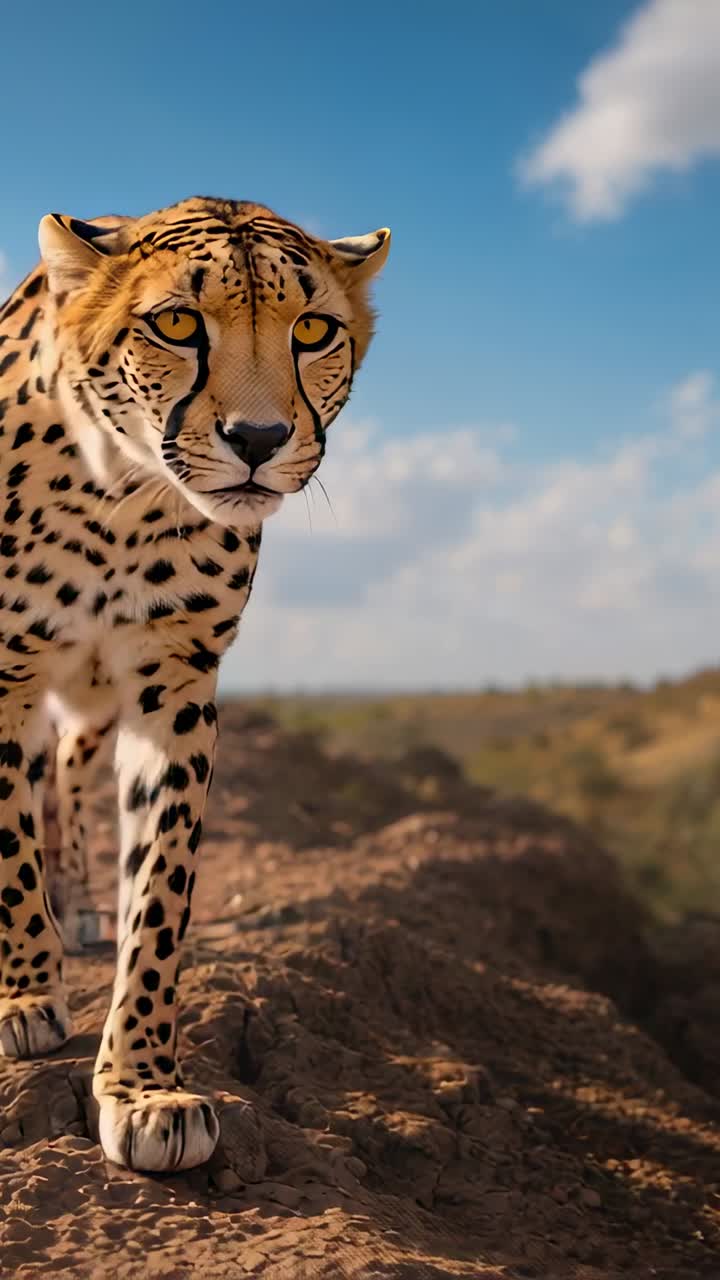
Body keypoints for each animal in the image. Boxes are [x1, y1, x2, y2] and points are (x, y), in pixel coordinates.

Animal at [0, 196, 389, 1171]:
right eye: (177, 324)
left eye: (313, 330)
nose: (258, 440)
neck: (123, 499)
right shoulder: (8, 670)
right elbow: (9, 849)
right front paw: (24, 996)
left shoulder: (172, 689)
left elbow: (161, 889)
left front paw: (145, 1088)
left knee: (68, 772)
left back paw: (79, 907)